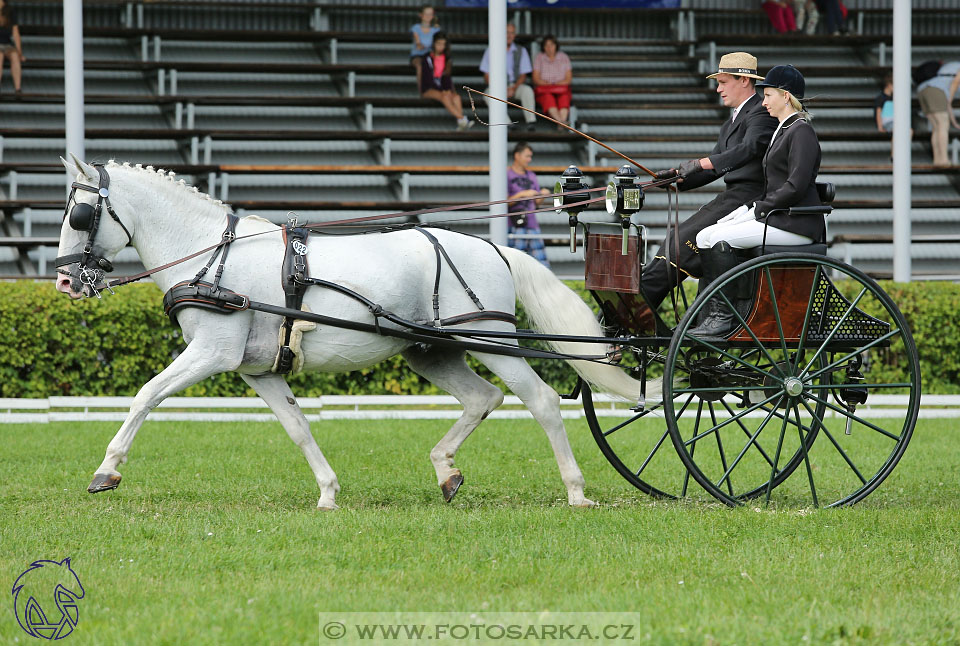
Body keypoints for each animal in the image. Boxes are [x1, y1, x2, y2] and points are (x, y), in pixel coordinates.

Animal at [50, 158, 636, 512]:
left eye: (79, 213)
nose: (64, 280)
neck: (213, 254)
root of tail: (495, 247)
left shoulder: (212, 351)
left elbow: (146, 394)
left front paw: (106, 471)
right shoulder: (257, 370)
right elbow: (297, 427)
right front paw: (329, 492)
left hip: (491, 339)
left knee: (540, 400)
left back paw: (576, 490)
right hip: (433, 351)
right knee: (483, 398)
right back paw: (446, 471)